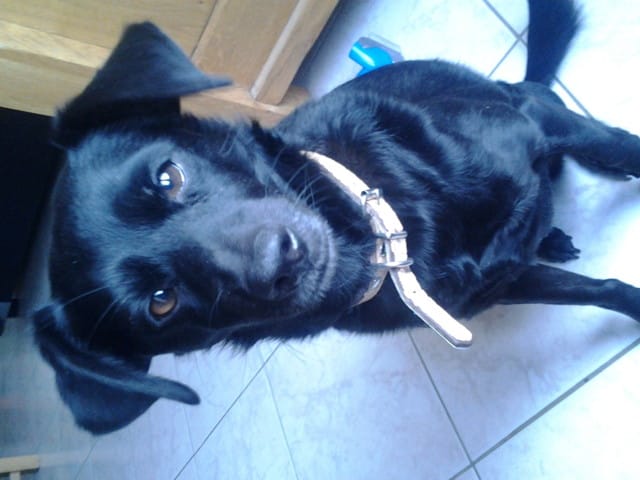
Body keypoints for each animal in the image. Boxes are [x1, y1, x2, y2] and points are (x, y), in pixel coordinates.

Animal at [33, 0, 640, 434]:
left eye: (169, 176)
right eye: (162, 303)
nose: (278, 261)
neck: (385, 236)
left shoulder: (536, 122)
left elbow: (622, 152)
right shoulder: (496, 287)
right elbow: (601, 289)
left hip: (533, 103)